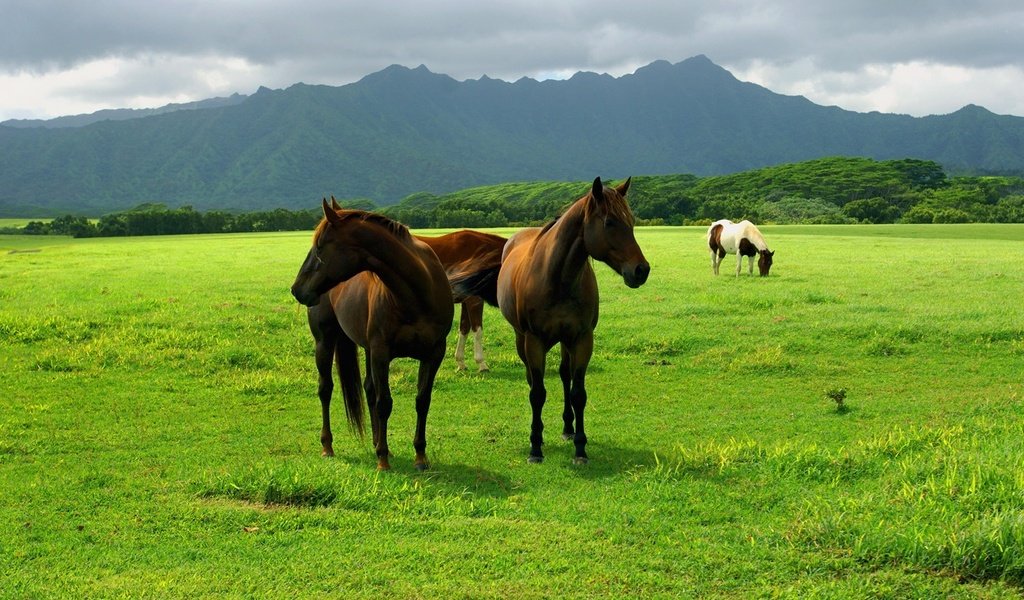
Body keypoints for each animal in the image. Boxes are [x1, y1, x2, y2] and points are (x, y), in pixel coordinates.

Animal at [286, 198, 450, 468]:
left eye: (320, 247)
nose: (297, 289)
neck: (416, 294)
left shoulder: (434, 354)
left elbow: (422, 401)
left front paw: (420, 455)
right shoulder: (381, 353)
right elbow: (385, 403)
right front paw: (383, 459)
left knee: (369, 389)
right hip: (325, 342)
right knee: (326, 389)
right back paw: (328, 446)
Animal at [454, 176, 647, 462]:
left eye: (632, 221)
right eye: (609, 222)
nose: (641, 270)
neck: (558, 279)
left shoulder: (581, 339)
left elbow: (578, 393)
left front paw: (580, 447)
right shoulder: (534, 341)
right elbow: (537, 392)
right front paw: (535, 446)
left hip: (565, 341)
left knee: (565, 376)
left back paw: (567, 428)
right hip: (522, 339)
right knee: (532, 380)